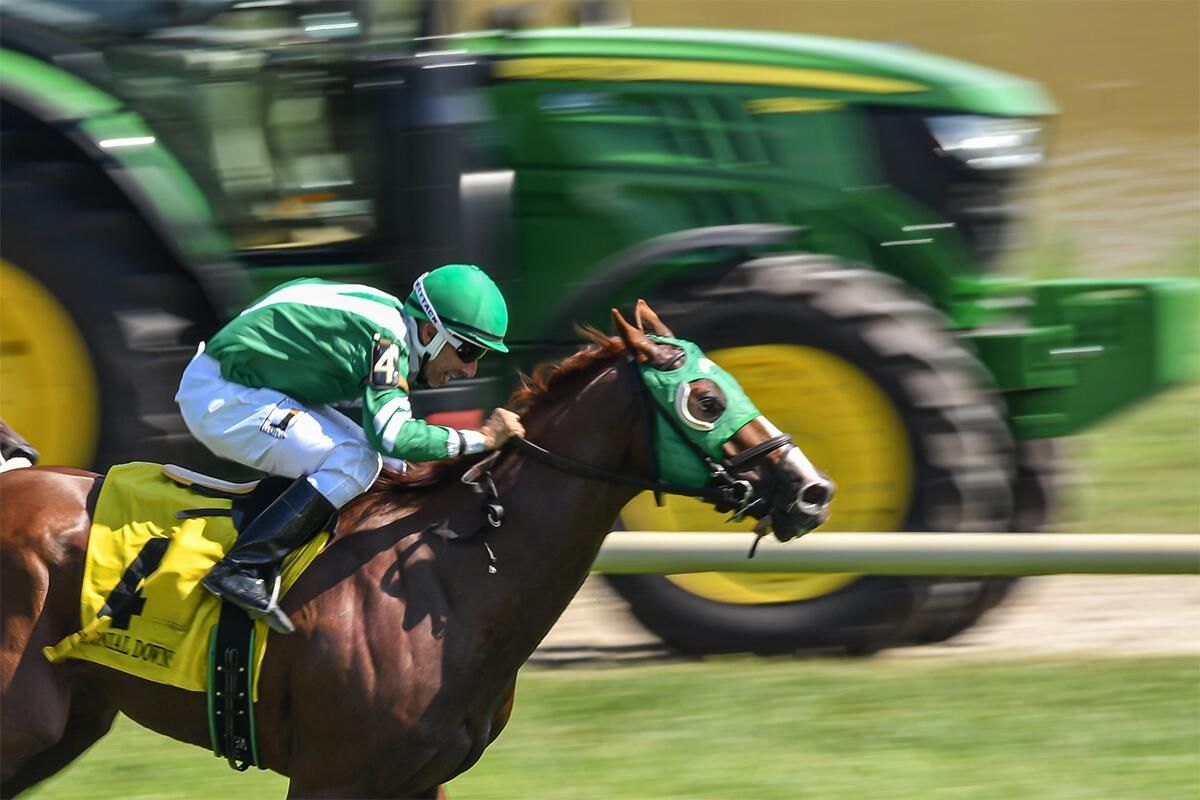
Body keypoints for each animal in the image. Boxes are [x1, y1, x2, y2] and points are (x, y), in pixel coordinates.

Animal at [0, 303, 835, 796]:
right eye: (706, 400)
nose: (811, 489)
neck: (453, 582)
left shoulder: (420, 779)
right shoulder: (332, 776)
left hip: (69, 722)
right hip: (26, 719)